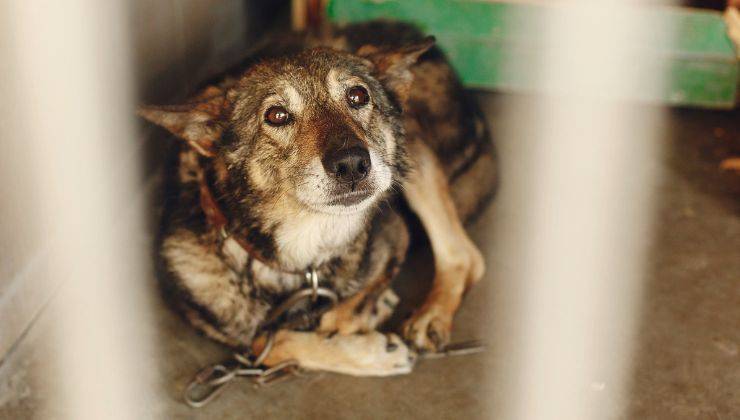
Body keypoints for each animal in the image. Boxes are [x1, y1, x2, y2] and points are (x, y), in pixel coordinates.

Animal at [139, 21, 498, 376]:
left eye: (357, 95)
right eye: (277, 115)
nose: (352, 164)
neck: (303, 250)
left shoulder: (397, 234)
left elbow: (329, 319)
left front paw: (366, 325)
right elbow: (266, 342)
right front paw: (372, 346)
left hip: (415, 142)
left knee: (464, 254)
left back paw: (429, 316)